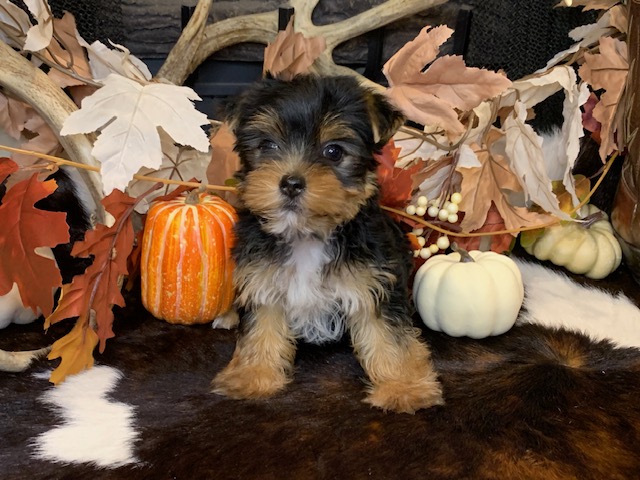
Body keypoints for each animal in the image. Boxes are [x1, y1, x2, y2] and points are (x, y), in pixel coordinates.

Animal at [212, 75, 442, 412]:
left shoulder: (374, 280)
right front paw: (252, 375)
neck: (307, 234)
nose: (291, 183)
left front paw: (404, 387)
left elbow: (388, 334)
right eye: (267, 145)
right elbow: (261, 325)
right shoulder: (262, 275)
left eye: (333, 151)